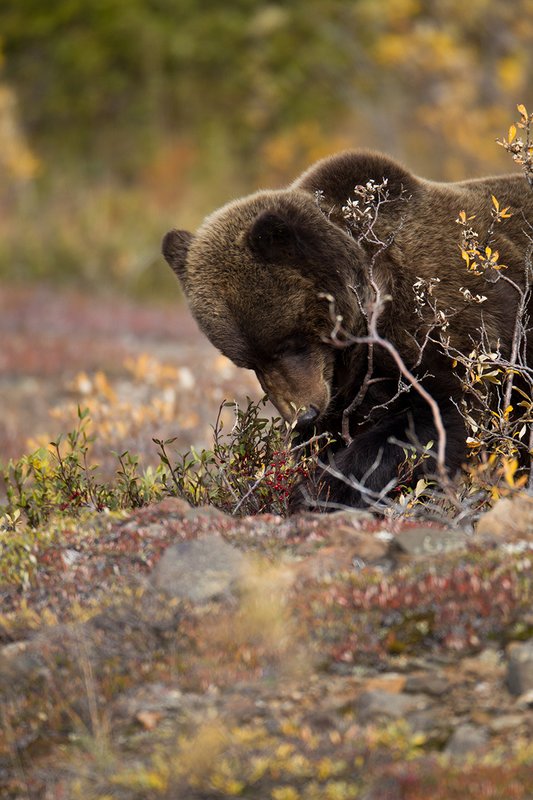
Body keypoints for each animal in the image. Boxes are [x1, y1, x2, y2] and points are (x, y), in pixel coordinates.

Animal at [162, 150, 533, 509]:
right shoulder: (339, 383)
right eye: (250, 361)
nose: (304, 415)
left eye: (289, 342)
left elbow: (443, 415)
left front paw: (320, 491)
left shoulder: (448, 331)